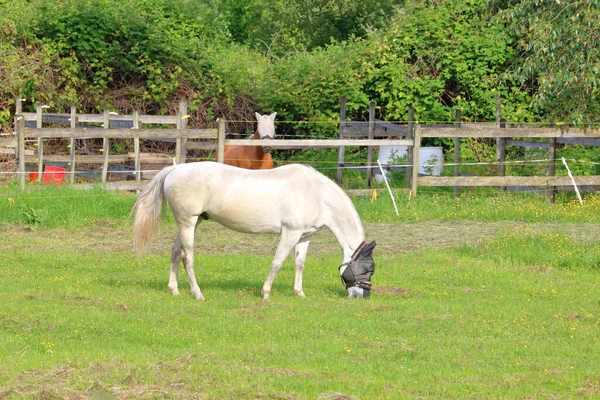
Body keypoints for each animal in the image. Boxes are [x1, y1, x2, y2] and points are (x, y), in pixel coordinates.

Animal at [132, 161, 376, 298]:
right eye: (367, 269)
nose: (362, 295)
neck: (316, 193)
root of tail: (176, 169)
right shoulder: (290, 233)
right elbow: (277, 262)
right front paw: (266, 293)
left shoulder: (304, 236)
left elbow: (300, 264)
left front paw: (300, 293)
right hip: (188, 222)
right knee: (187, 257)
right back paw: (197, 293)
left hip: (191, 222)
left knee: (175, 252)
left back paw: (174, 290)